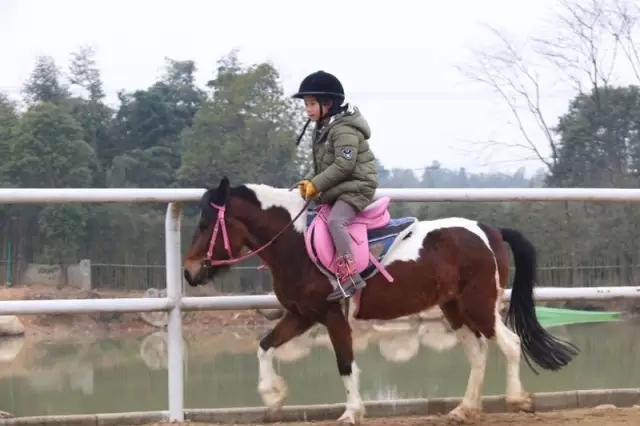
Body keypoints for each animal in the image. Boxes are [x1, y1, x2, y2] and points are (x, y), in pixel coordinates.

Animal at [182, 176, 576, 422]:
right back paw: (464, 409)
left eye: (205, 225)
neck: (297, 243)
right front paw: (273, 395)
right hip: (454, 308)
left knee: (510, 344)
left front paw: (351, 412)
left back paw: (517, 399)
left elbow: (344, 364)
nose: (189, 272)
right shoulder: (302, 315)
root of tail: (488, 230)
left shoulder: (332, 316)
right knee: (478, 353)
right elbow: (264, 345)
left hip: (480, 306)